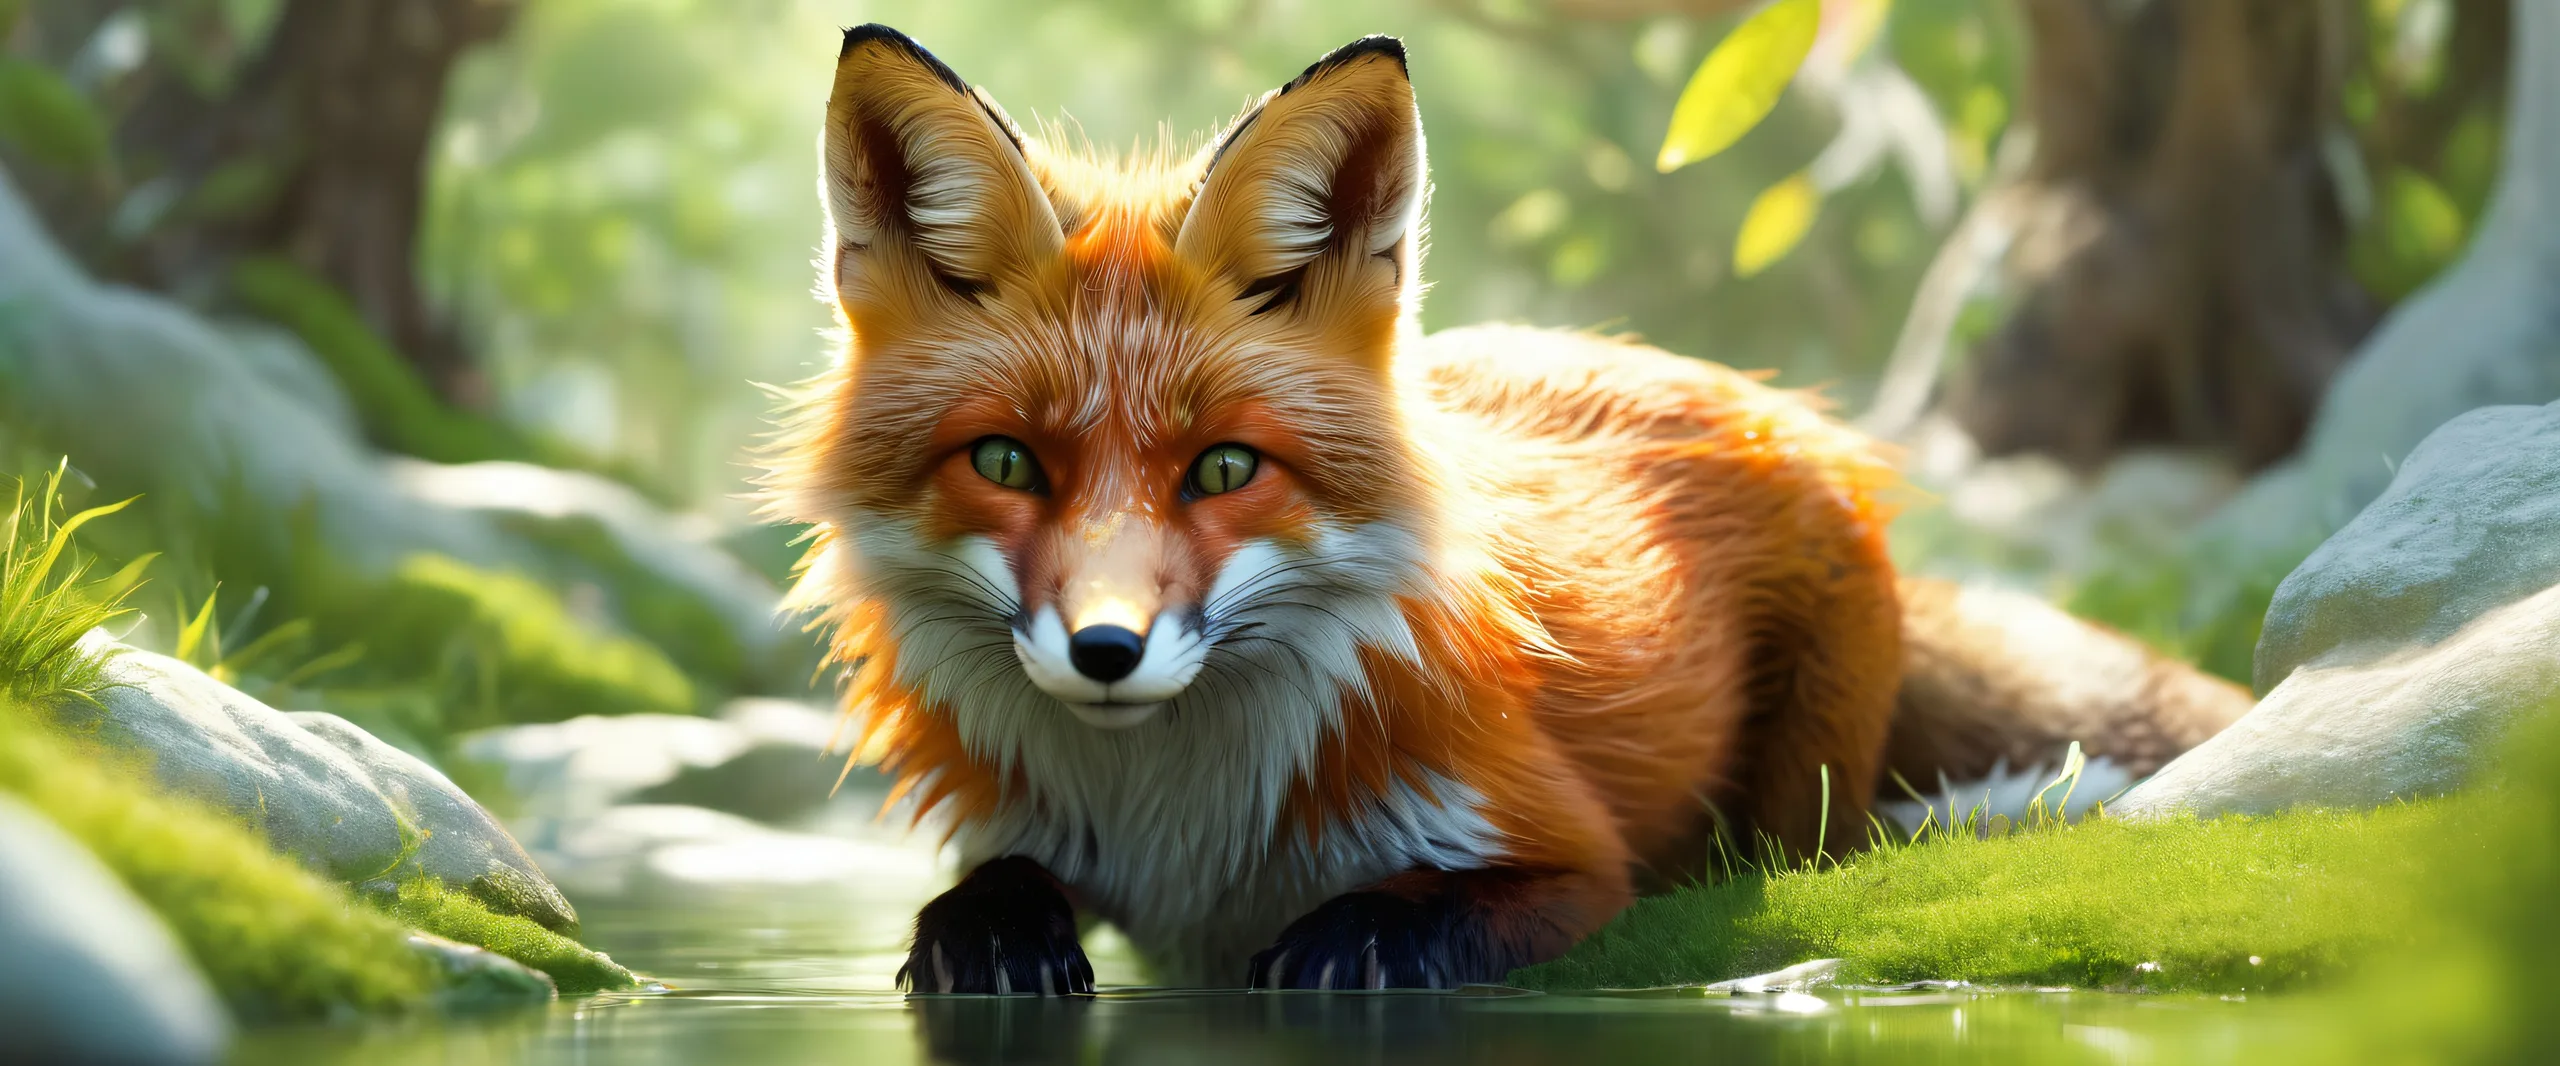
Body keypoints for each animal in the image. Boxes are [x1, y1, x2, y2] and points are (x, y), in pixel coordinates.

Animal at [765, 25, 2254, 993]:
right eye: (1008, 462)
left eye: (1226, 469)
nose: (1107, 651)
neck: (1186, 835)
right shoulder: (1033, 831)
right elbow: (989, 886)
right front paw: (989, 934)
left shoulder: (1553, 846)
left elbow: (1431, 911)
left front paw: (1348, 939)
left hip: (1805, 773)